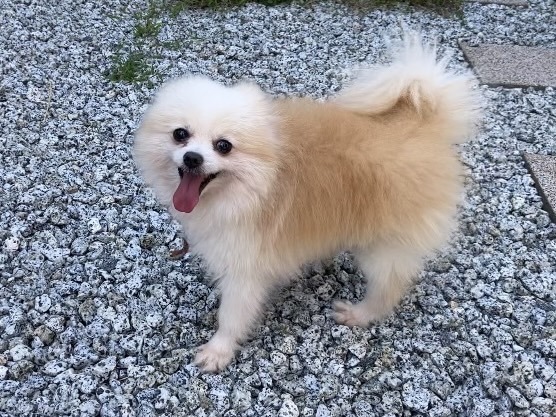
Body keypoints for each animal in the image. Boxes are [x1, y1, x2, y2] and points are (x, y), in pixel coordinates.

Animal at [133, 33, 481, 372]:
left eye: (224, 146)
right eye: (180, 134)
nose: (193, 157)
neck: (258, 182)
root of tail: (424, 123)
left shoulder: (246, 265)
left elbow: (232, 315)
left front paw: (218, 351)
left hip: (384, 246)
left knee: (389, 287)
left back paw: (359, 314)